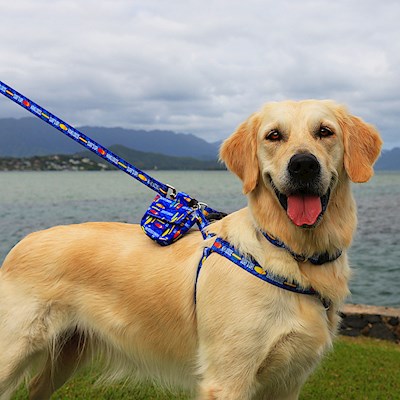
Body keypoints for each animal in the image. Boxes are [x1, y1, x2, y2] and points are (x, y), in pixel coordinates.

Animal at [0, 101, 382, 400]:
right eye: (274, 136)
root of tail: (19, 244)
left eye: (325, 131)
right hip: (13, 350)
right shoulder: (228, 379)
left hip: (67, 351)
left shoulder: (287, 382)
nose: (303, 165)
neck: (291, 253)